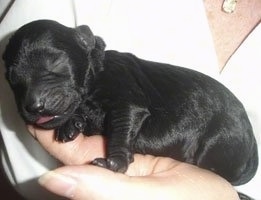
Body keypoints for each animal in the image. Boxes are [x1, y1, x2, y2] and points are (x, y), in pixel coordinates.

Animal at [2, 19, 258, 185]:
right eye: (12, 79)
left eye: (55, 63)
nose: (34, 106)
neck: (96, 71)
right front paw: (71, 124)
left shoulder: (127, 101)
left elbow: (120, 128)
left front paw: (115, 162)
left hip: (219, 141)